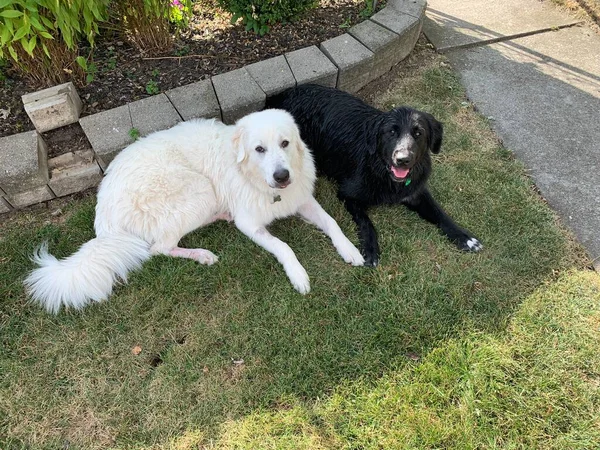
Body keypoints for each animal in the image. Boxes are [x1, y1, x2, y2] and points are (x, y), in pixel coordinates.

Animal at [25, 109, 364, 312]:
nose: (282, 176)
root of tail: (104, 216)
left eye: (285, 143)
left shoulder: (302, 199)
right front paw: (299, 275)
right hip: (200, 190)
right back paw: (202, 254)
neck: (259, 182)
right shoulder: (250, 224)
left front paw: (350, 250)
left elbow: (332, 222)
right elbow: (284, 247)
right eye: (259, 149)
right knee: (159, 248)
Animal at [268, 84, 482, 266]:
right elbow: (366, 222)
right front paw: (370, 249)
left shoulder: (416, 192)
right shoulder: (348, 194)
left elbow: (440, 214)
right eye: (391, 132)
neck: (383, 172)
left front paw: (465, 237)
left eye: (418, 133)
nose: (402, 159)